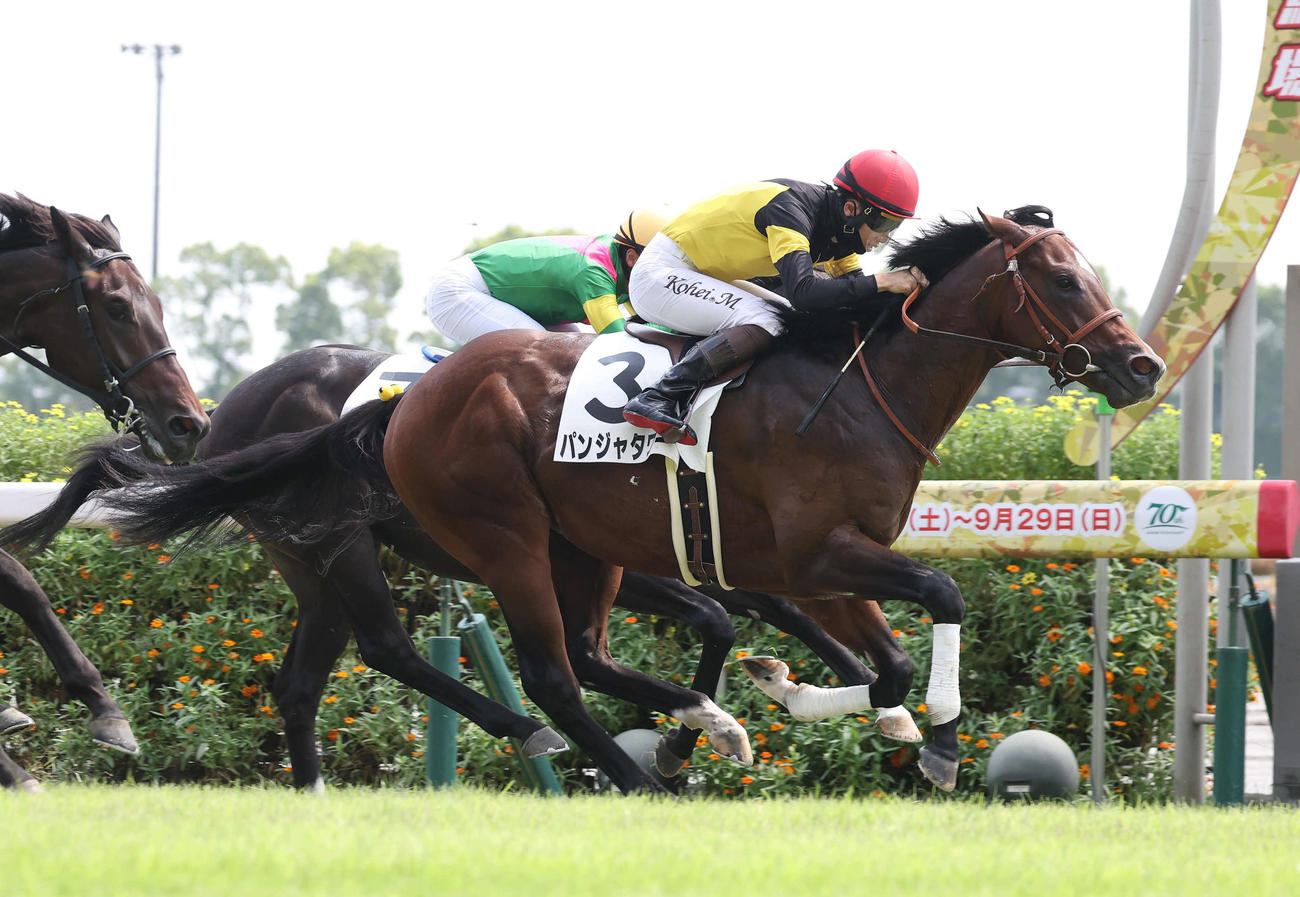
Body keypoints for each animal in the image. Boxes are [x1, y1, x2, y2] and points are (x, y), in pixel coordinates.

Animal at [4, 344, 917, 790]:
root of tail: (227, 409)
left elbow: (760, 605)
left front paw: (847, 688)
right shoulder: (604, 549)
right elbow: (721, 613)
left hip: (308, 562)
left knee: (303, 679)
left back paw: (315, 790)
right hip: (341, 542)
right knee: (388, 646)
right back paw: (534, 731)